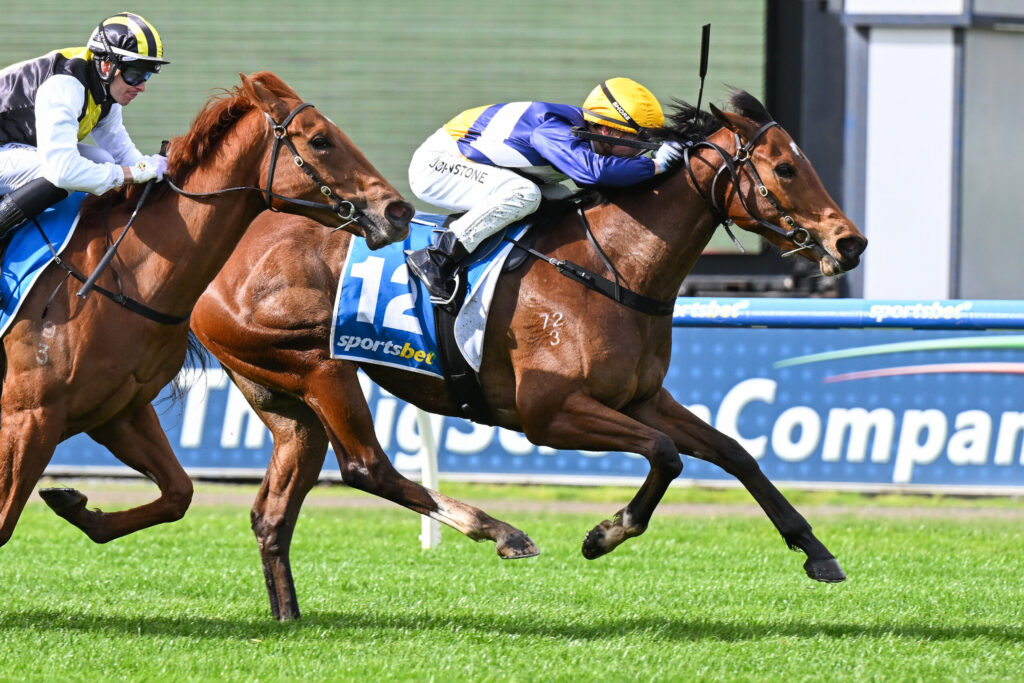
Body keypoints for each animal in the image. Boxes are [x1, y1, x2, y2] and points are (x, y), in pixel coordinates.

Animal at [0, 71, 413, 556]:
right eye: (320, 140)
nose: (398, 211)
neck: (120, 277)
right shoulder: (29, 416)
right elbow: (4, 524)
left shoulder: (117, 411)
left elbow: (179, 493)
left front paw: (77, 507)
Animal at [191, 90, 868, 620]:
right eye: (785, 168)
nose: (850, 243)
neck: (613, 266)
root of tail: (222, 258)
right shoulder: (551, 412)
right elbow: (665, 455)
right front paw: (605, 533)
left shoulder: (643, 398)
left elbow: (734, 453)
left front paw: (816, 551)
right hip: (321, 367)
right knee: (365, 468)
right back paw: (499, 531)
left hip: (284, 401)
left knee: (273, 512)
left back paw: (288, 617)